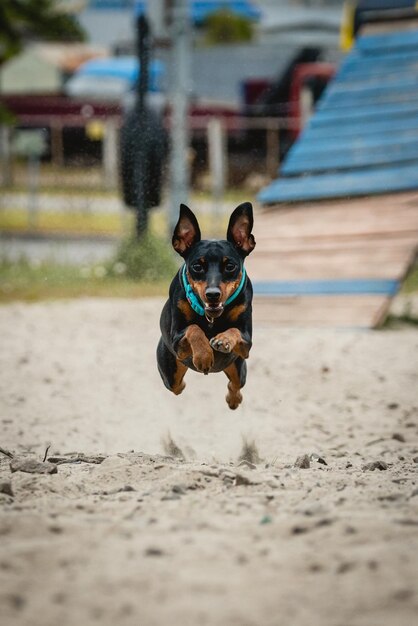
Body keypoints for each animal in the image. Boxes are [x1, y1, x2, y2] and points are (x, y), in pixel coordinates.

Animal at [157, 204, 255, 410]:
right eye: (197, 266)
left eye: (230, 266)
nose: (212, 294)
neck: (212, 318)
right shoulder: (177, 340)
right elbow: (193, 328)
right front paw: (203, 356)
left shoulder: (247, 343)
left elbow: (235, 330)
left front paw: (222, 340)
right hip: (170, 371)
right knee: (177, 385)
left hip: (238, 366)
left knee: (235, 383)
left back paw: (233, 400)